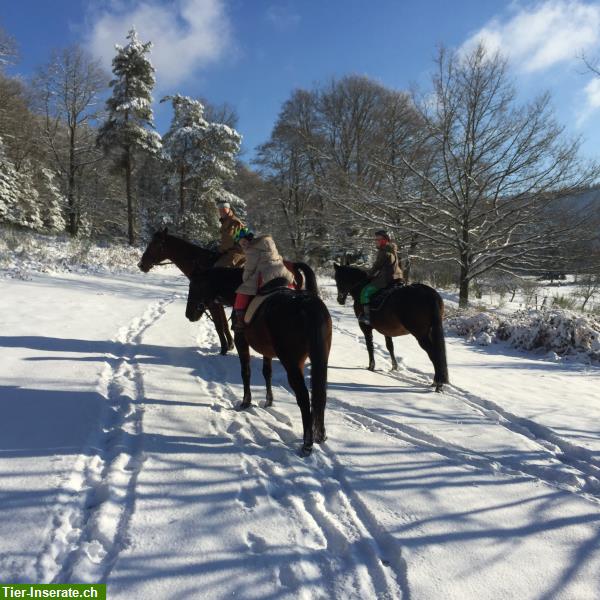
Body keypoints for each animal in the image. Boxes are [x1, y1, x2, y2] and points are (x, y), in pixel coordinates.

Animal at [185, 268, 330, 454]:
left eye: (194, 286)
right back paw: (320, 435)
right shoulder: (267, 351)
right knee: (321, 394)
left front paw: (246, 401)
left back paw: (307, 444)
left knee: (304, 398)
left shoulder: (241, 341)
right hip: (321, 359)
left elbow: (245, 372)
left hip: (292, 363)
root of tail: (307, 305)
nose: (189, 314)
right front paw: (268, 401)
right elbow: (267, 373)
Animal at [336, 264, 448, 392]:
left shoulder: (365, 328)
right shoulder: (387, 330)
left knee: (434, 354)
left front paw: (371, 366)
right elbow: (390, 346)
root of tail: (428, 293)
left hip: (421, 335)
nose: (339, 299)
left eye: (338, 279)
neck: (361, 286)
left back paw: (438, 383)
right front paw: (394, 367)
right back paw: (437, 382)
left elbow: (370, 346)